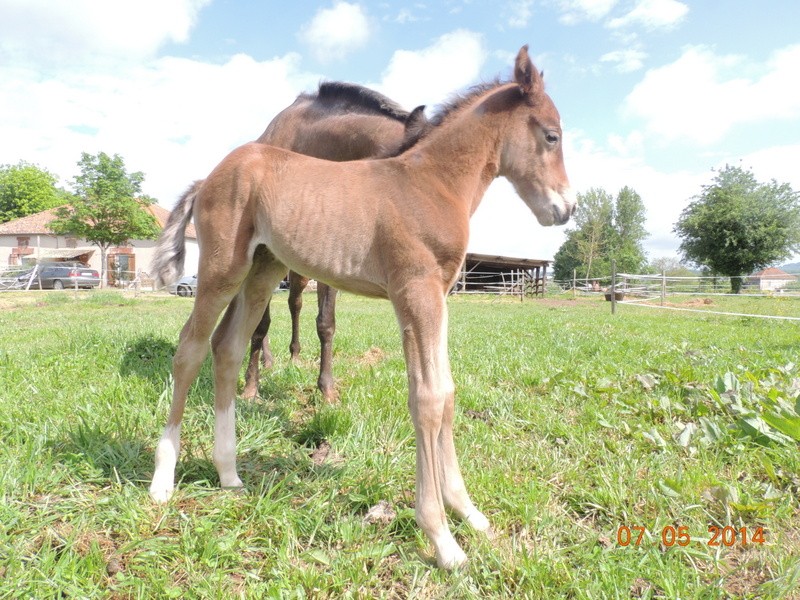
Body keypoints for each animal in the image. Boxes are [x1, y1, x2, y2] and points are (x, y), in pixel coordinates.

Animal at [155, 82, 424, 400]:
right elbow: (260, 326)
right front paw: (251, 386)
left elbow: (325, 323)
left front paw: (326, 389)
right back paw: (266, 361)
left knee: (294, 304)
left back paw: (292, 355)